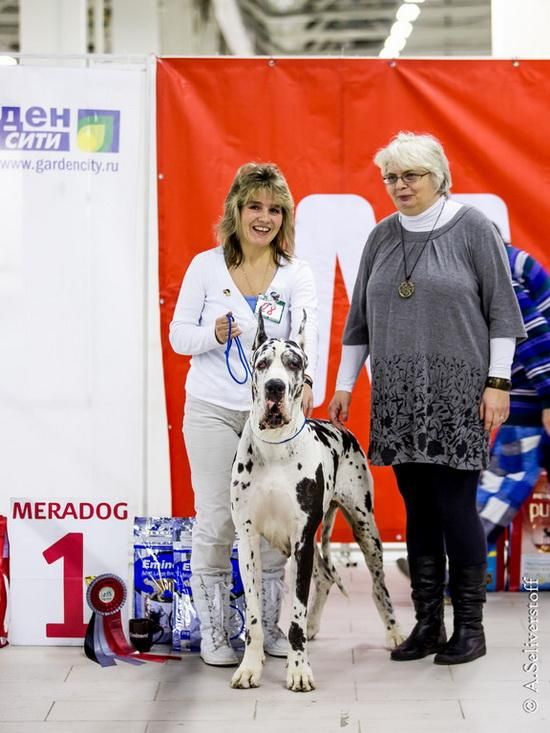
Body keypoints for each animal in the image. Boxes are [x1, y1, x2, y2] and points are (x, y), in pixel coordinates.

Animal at [230, 313, 403, 692]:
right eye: (262, 363)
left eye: (294, 363)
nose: (275, 387)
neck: (275, 446)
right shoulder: (248, 542)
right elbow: (253, 615)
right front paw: (250, 667)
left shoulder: (302, 540)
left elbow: (294, 613)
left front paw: (299, 670)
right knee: (325, 574)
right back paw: (313, 627)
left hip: (366, 529)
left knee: (378, 585)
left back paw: (395, 632)